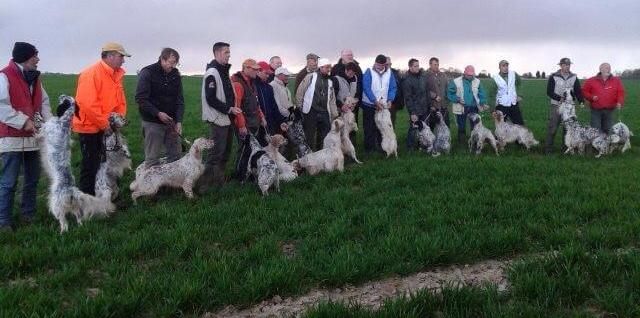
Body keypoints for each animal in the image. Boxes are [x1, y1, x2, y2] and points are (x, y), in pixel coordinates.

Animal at [36, 95, 114, 232]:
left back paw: (62, 232)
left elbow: (41, 124)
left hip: (57, 207)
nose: (61, 95)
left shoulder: (46, 128)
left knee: (64, 223)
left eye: (65, 99)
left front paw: (37, 116)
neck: (63, 123)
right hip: (76, 208)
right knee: (79, 218)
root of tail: (73, 192)